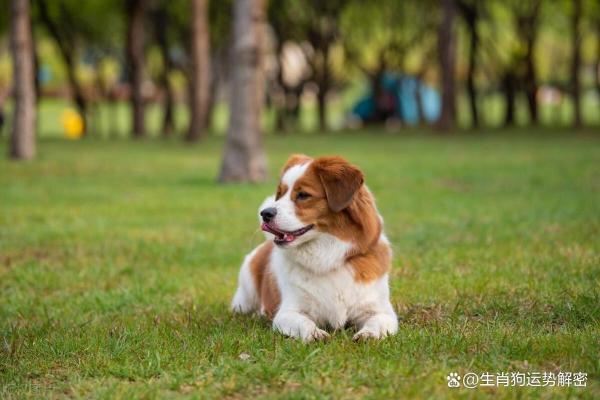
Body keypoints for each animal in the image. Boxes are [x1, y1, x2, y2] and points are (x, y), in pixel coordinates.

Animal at [231, 154, 398, 342]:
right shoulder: (287, 313)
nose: (265, 214)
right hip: (246, 294)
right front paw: (315, 334)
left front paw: (368, 335)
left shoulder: (382, 312)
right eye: (279, 195)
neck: (328, 257)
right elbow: (304, 322)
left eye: (303, 195)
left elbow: (377, 322)